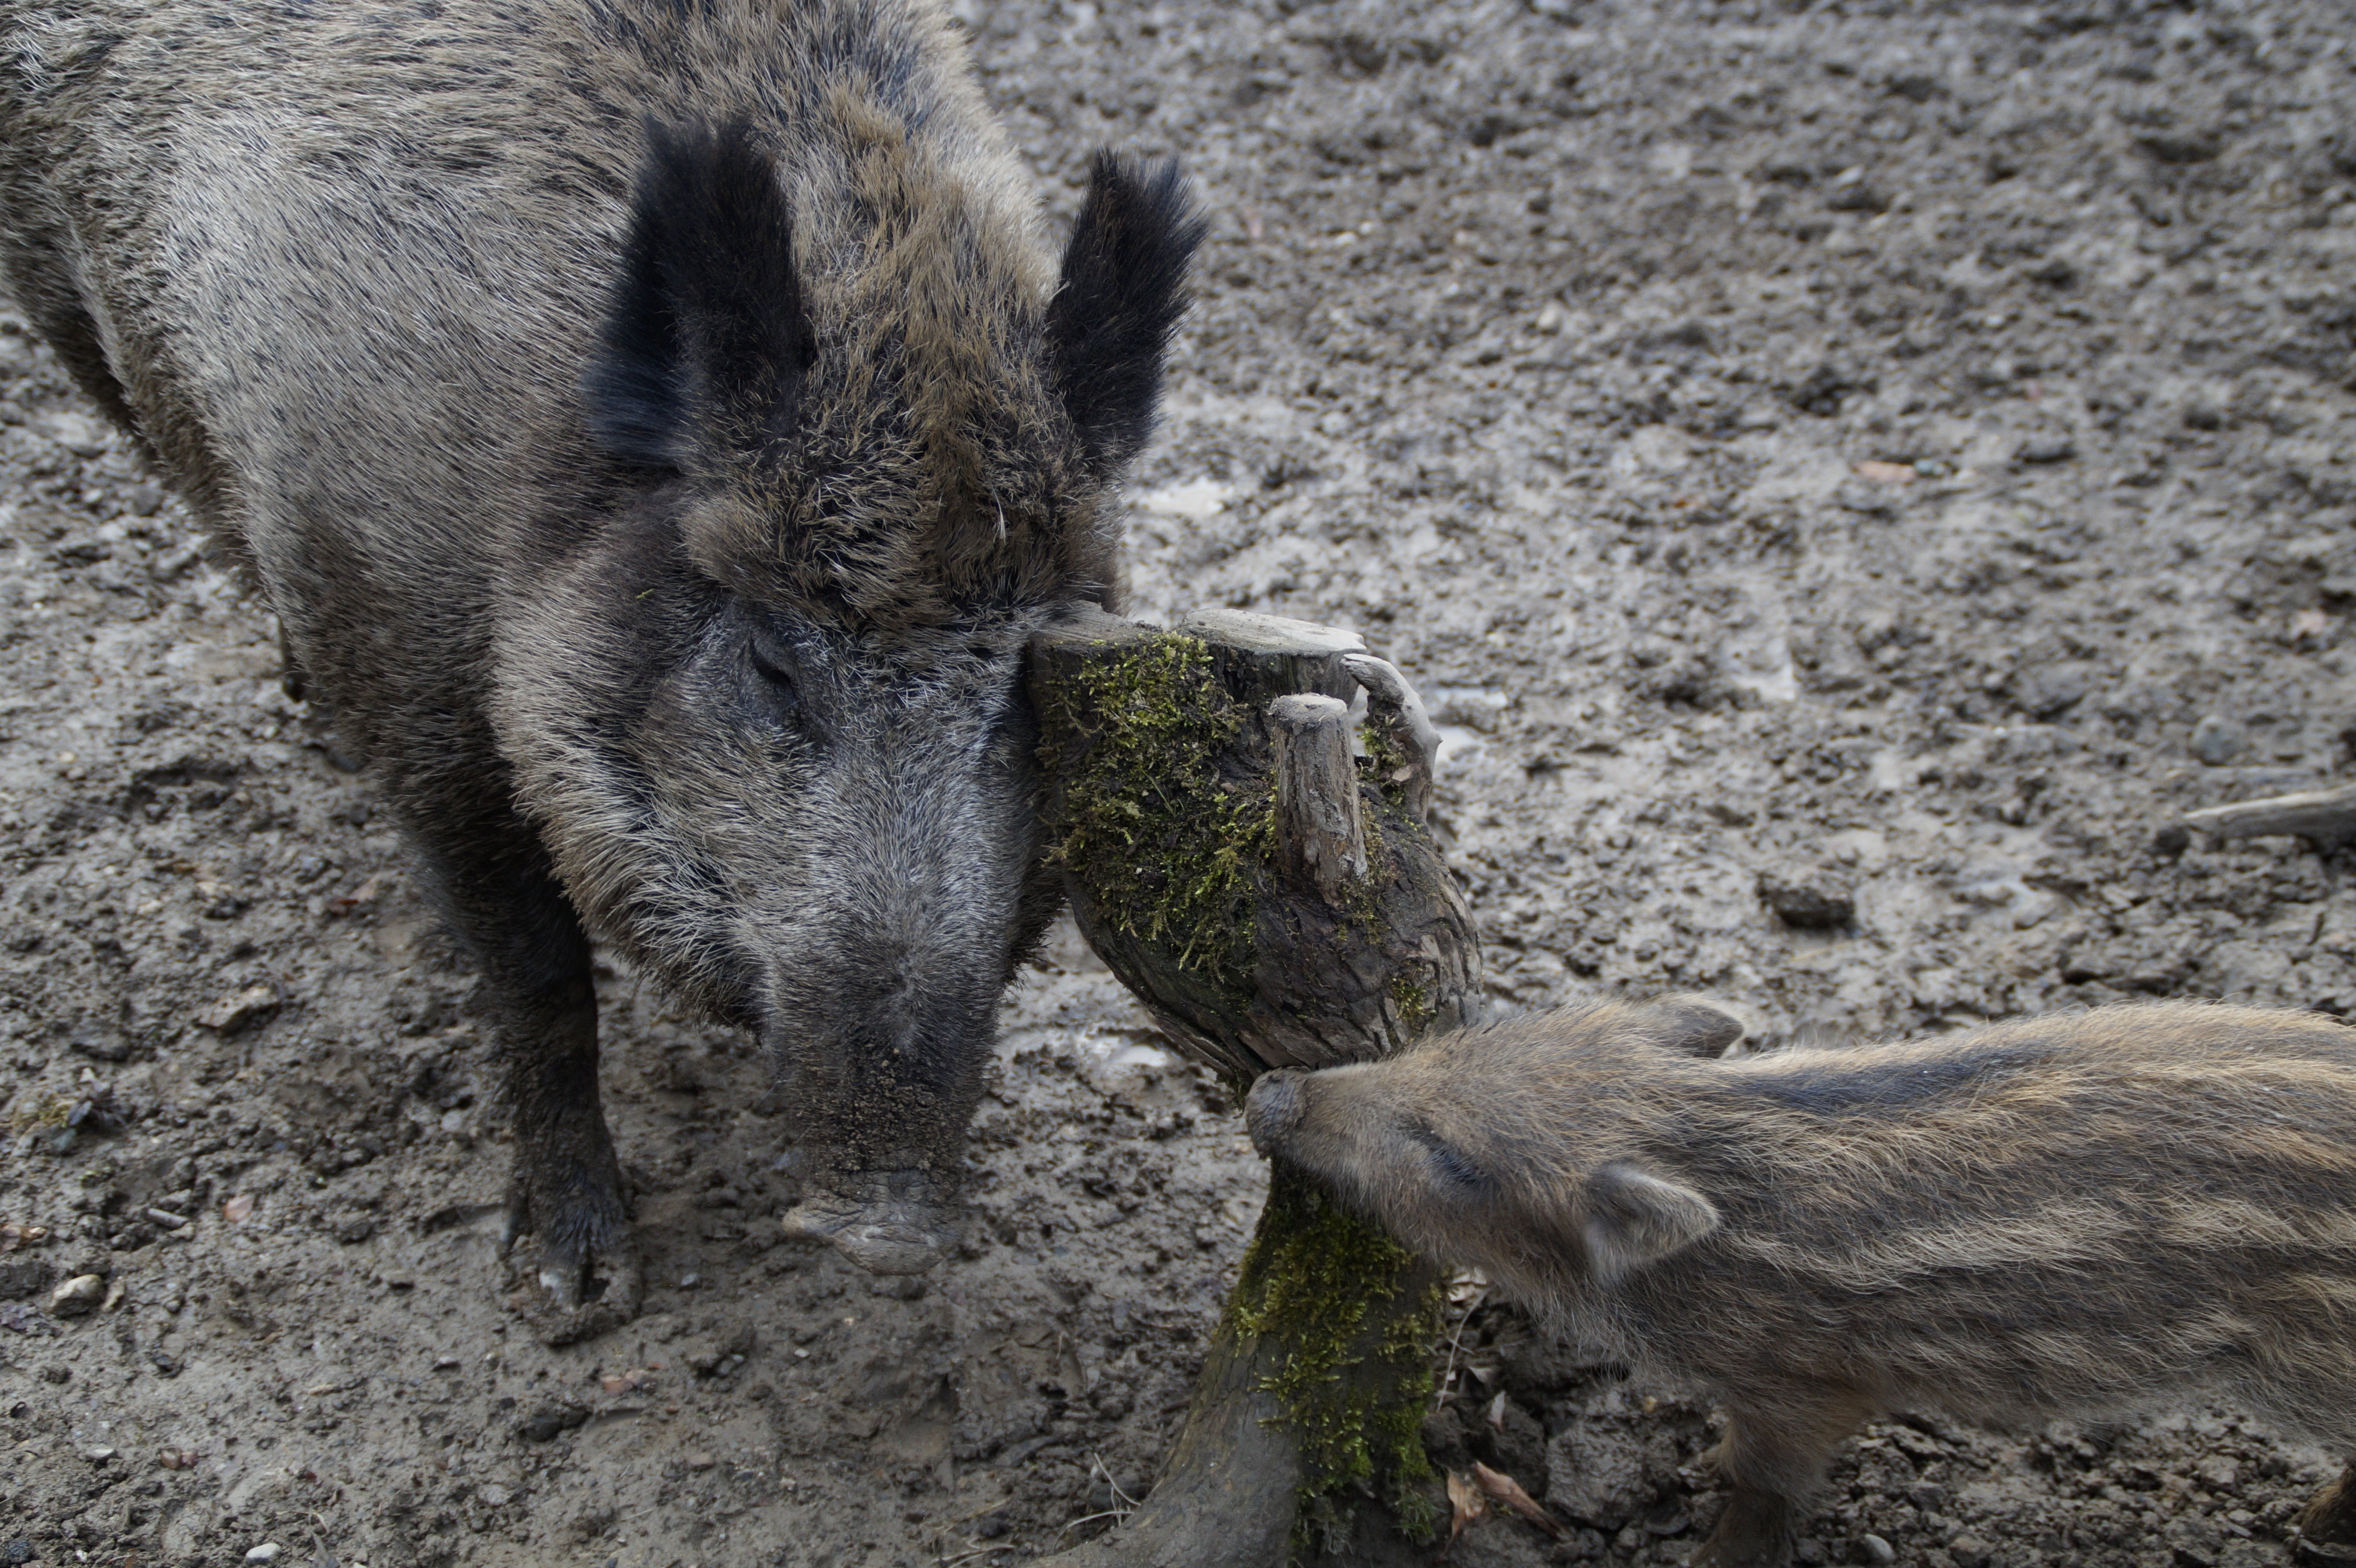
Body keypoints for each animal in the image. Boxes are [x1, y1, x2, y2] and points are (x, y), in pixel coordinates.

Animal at [0, 0, 1204, 1333]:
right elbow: (536, 976)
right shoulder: (405, 671)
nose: (889, 1227)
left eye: (1025, 679)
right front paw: (572, 1292)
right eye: (773, 663)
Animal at [1246, 998, 2356, 1566]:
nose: (1269, 1093)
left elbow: (1767, 1478)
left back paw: (2311, 1528)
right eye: (1453, 1036)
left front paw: (1711, 1548)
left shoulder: (1807, 1387)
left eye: (1453, 1159)